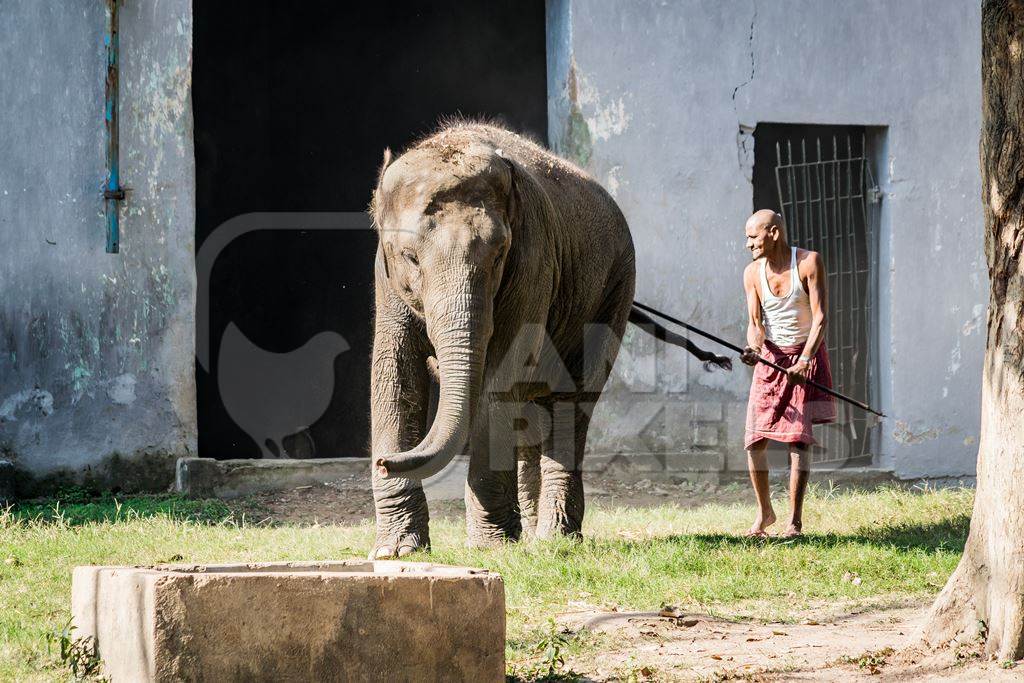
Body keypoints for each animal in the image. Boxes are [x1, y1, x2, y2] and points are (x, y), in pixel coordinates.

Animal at [368, 124, 729, 561]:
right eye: (410, 257)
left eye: (498, 256)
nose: (385, 462)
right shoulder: (386, 279)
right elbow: (395, 372)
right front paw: (396, 552)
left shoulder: (532, 263)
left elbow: (502, 376)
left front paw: (490, 548)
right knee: (530, 410)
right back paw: (533, 532)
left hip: (614, 290)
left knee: (571, 401)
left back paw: (555, 537)